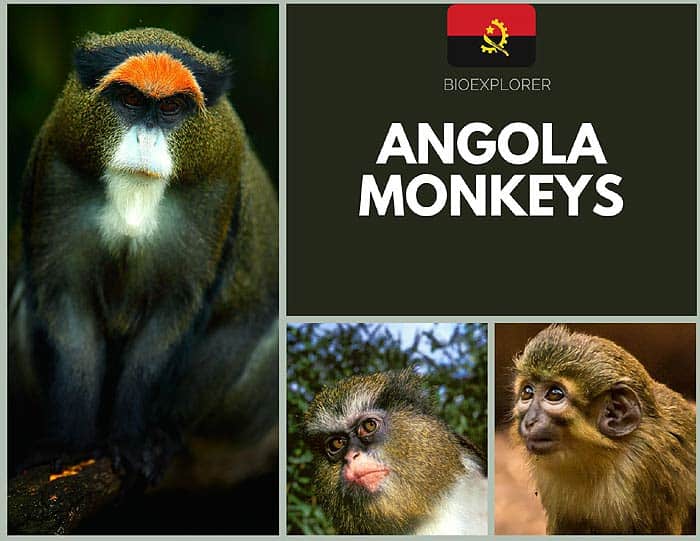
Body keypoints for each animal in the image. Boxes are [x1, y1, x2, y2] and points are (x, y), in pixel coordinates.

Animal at [8, 28, 278, 491]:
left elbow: (170, 319)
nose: (145, 141)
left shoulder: (215, 186)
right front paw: (67, 444)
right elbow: (67, 306)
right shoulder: (59, 163)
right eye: (131, 100)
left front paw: (135, 441)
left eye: (170, 108)